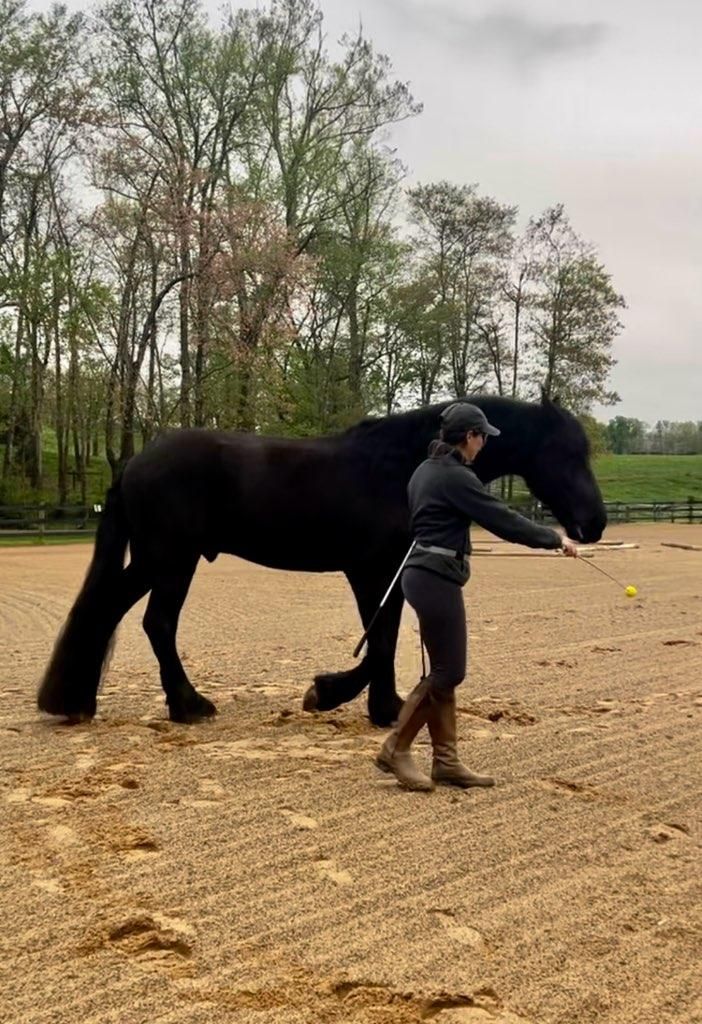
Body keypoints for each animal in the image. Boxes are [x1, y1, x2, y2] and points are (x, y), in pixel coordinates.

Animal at [37, 394, 606, 728]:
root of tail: (136, 460)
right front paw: (342, 697)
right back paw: (184, 706)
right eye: (567, 453)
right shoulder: (371, 571)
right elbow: (380, 641)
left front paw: (368, 702)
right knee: (149, 621)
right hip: (171, 560)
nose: (593, 524)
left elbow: (383, 638)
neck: (399, 465)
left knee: (114, 613)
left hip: (162, 561)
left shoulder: (390, 572)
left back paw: (83, 702)